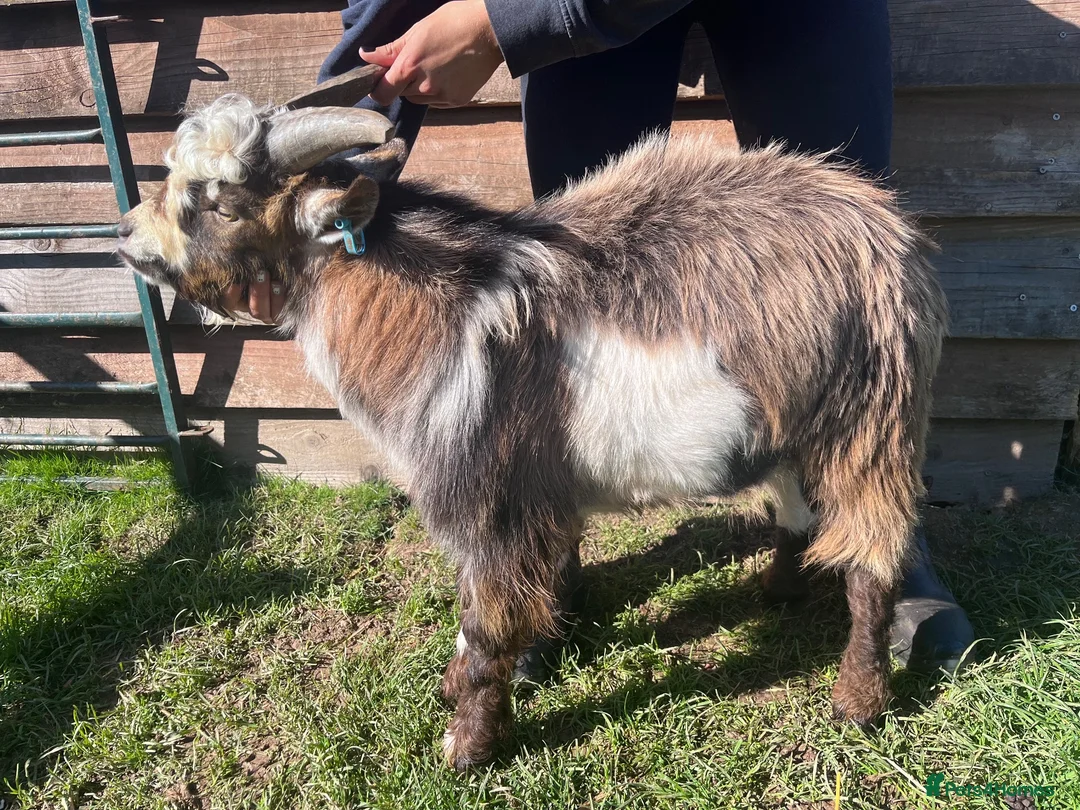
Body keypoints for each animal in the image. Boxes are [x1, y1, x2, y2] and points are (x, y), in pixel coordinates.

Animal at [117, 94, 948, 769]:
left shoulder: (490, 493)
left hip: (869, 419)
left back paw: (858, 701)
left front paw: (467, 745)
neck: (434, 305)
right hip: (787, 427)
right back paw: (778, 589)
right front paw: (459, 689)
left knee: (873, 557)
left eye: (222, 205)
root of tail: (887, 231)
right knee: (797, 508)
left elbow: (487, 623)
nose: (126, 233)